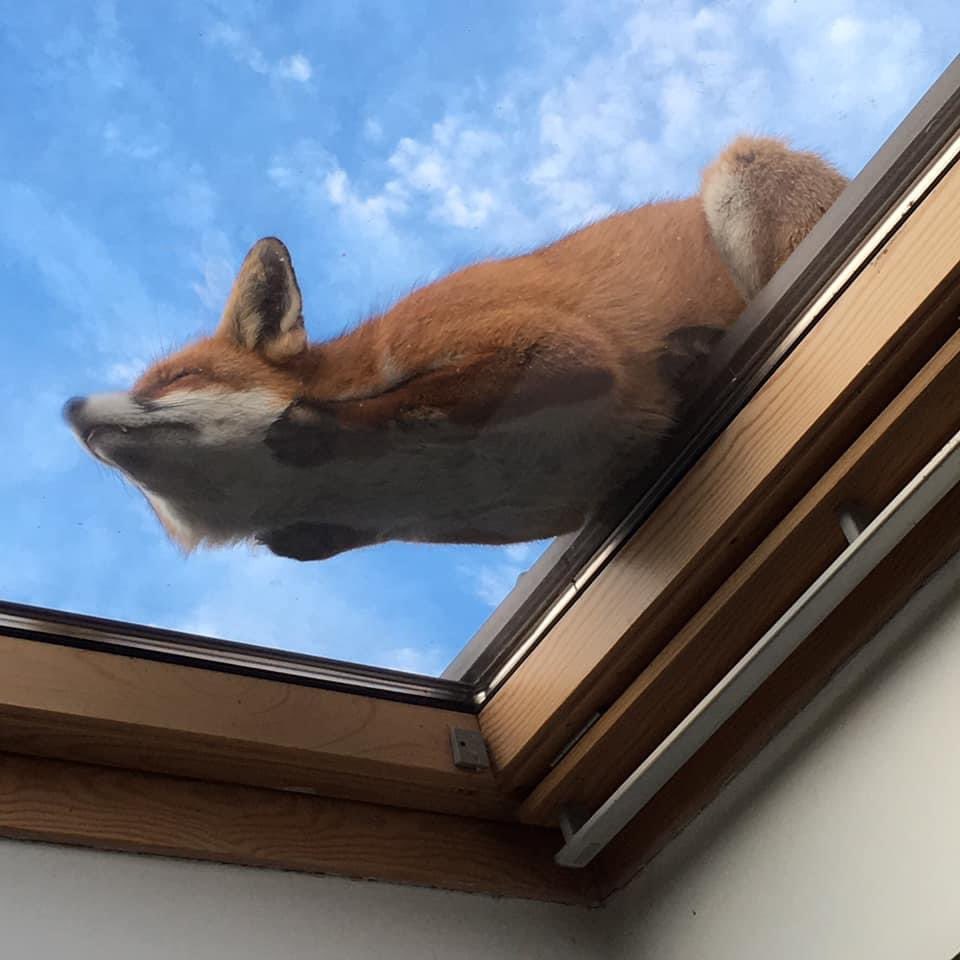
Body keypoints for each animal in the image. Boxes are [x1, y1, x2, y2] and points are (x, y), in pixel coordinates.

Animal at [64, 137, 846, 562]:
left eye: (173, 377)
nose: (68, 406)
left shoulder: (543, 346)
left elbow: (416, 401)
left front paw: (321, 422)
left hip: (739, 171)